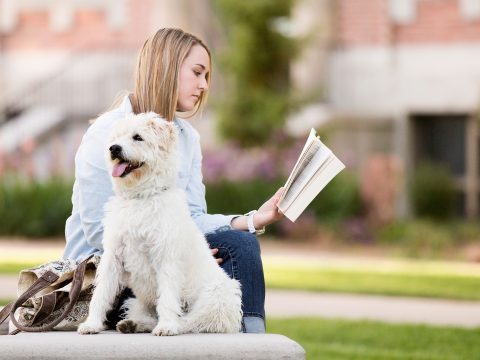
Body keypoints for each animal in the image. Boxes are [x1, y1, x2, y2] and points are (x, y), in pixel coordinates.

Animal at [80, 112, 244, 334]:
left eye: (138, 137)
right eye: (116, 137)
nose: (114, 148)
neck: (140, 198)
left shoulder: (166, 257)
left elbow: (167, 298)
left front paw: (166, 326)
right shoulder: (113, 256)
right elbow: (101, 293)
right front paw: (92, 324)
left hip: (217, 298)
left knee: (191, 321)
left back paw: (169, 324)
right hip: (137, 302)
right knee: (150, 315)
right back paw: (132, 324)